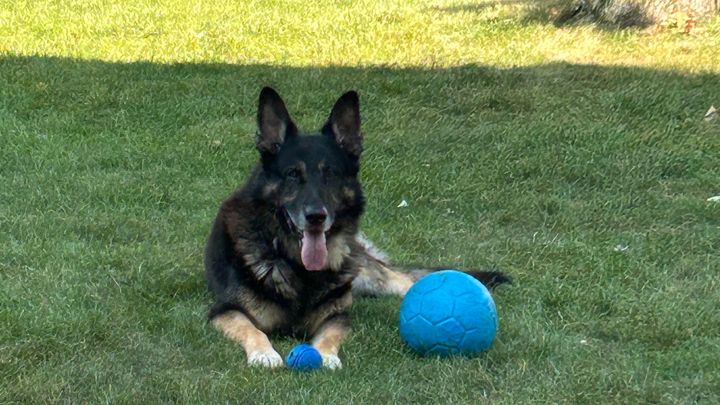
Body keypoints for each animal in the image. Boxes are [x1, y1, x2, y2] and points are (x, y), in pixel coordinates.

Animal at [204, 87, 509, 369]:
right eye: (292, 174)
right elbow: (253, 330)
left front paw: (326, 357)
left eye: (331, 174)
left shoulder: (338, 317)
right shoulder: (225, 311)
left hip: (371, 276)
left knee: (409, 282)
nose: (316, 217)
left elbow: (329, 336)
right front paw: (264, 354)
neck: (299, 268)